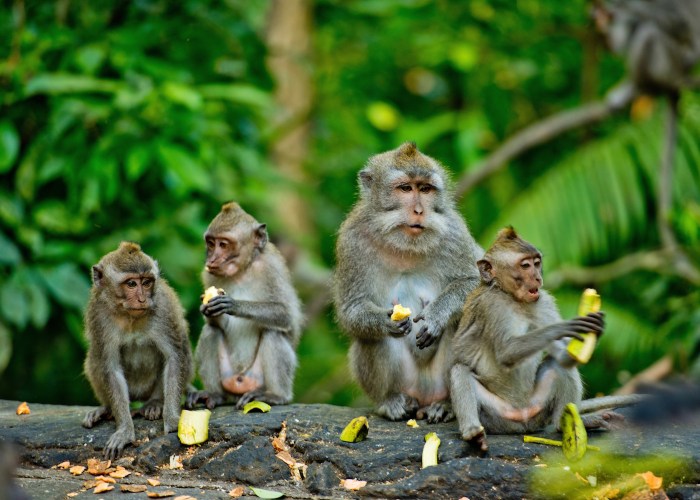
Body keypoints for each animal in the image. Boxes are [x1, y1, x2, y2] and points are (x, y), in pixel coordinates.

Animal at [82, 241, 194, 458]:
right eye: (132, 284)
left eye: (147, 282)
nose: (142, 299)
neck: (129, 316)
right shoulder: (99, 315)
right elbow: (111, 368)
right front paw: (125, 430)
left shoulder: (163, 308)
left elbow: (174, 357)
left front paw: (172, 419)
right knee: (94, 358)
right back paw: (105, 409)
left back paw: (155, 404)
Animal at [186, 202, 304, 410]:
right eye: (211, 243)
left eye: (223, 244)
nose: (211, 259)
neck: (242, 271)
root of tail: (240, 382)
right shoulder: (208, 275)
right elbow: (213, 324)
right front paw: (207, 310)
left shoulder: (271, 268)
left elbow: (286, 315)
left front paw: (233, 304)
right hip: (229, 377)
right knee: (210, 332)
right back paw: (215, 394)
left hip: (257, 378)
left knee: (273, 332)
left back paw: (276, 395)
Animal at [330, 142, 484, 422]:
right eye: (405, 188)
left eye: (425, 189)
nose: (419, 211)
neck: (405, 246)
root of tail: (423, 395)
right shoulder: (352, 240)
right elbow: (351, 309)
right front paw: (385, 321)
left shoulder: (455, 232)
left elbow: (474, 283)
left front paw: (436, 316)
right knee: (369, 338)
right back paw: (390, 401)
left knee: (462, 322)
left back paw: (446, 404)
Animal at [452, 229, 648, 452]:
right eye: (525, 265)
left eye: (537, 263)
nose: (538, 278)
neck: (512, 298)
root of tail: (522, 419)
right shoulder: (491, 305)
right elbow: (506, 352)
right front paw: (563, 328)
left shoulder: (543, 301)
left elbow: (563, 358)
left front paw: (596, 328)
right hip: (496, 416)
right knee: (460, 370)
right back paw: (473, 433)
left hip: (539, 408)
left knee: (558, 366)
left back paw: (566, 423)